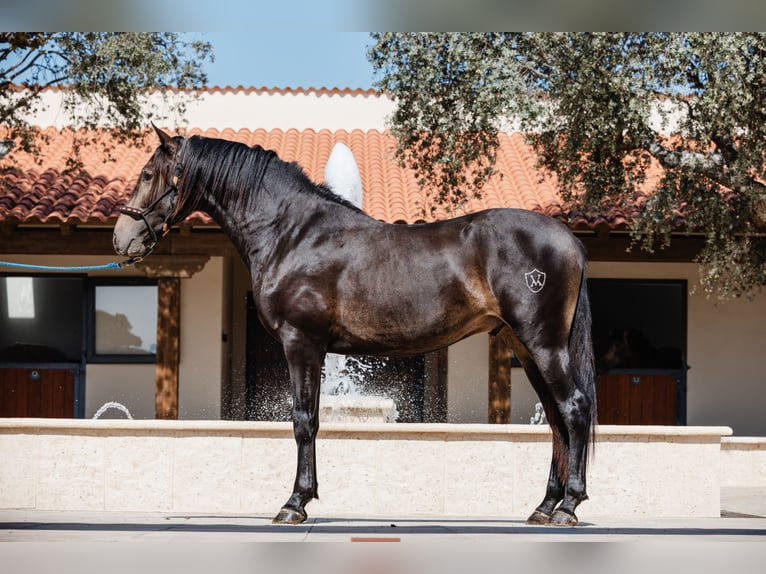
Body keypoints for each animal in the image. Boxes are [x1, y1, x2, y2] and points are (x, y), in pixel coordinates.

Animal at [112, 125, 600, 528]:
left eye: (149, 174)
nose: (122, 238)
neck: (291, 232)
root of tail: (568, 238)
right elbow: (309, 420)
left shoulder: (302, 344)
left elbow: (304, 420)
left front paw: (294, 504)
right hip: (525, 348)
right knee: (556, 420)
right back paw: (544, 507)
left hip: (544, 345)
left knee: (574, 409)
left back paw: (568, 507)